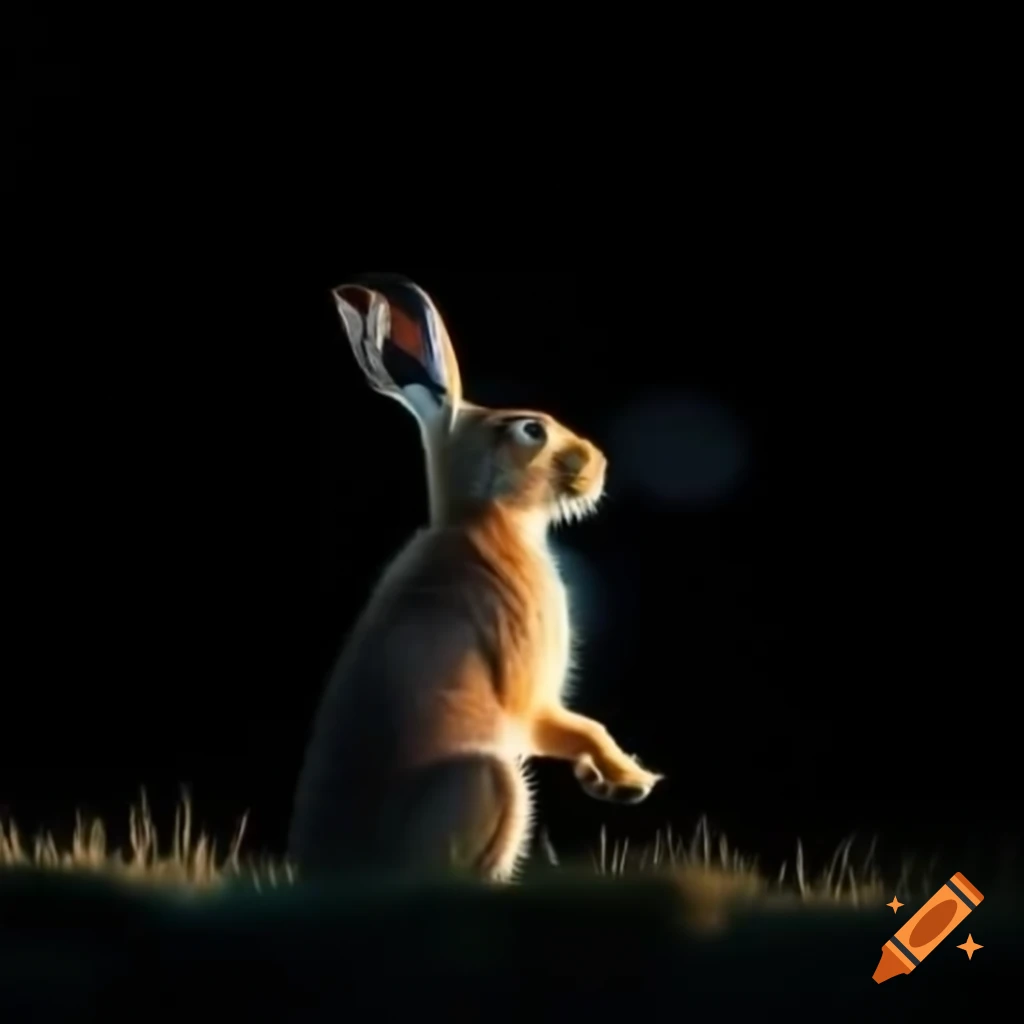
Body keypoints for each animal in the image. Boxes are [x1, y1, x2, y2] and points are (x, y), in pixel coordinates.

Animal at [288, 274, 663, 883]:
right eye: (531, 429)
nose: (597, 462)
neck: (482, 518)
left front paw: (612, 782)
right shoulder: (530, 697)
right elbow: (578, 726)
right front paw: (633, 780)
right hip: (493, 782)